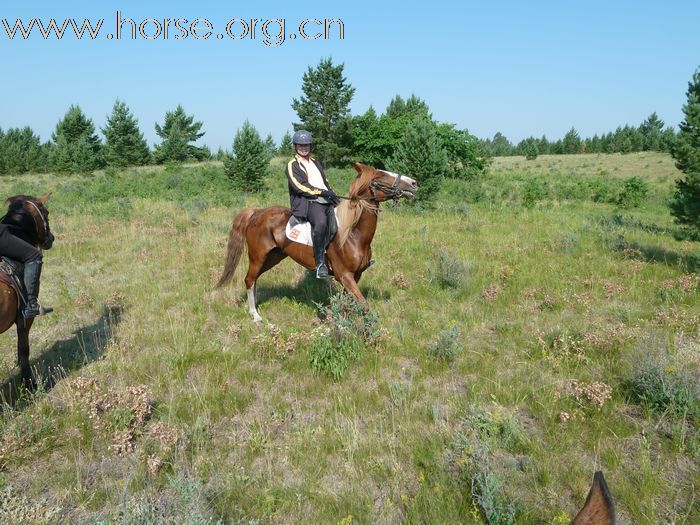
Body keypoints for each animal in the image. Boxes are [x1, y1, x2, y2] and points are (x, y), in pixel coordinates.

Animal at [216, 163, 418, 320]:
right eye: (381, 175)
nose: (413, 183)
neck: (352, 234)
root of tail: (257, 213)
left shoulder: (355, 275)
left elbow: (347, 303)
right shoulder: (344, 275)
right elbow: (364, 305)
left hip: (273, 257)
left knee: (255, 279)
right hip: (258, 256)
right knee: (249, 279)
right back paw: (255, 315)